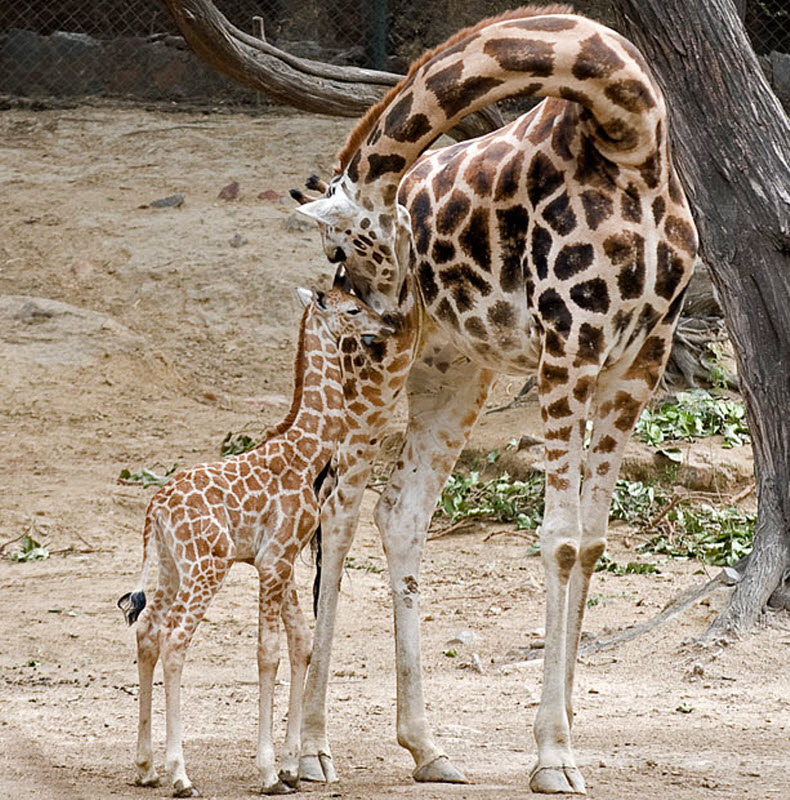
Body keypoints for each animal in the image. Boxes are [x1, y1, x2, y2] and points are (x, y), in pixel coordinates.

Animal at [117, 284, 396, 796]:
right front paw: (269, 772)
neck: (307, 451)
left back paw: (145, 767)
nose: (387, 325)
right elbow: (268, 652)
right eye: (353, 308)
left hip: (170, 566)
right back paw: (180, 774)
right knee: (174, 640)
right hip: (206, 567)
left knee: (147, 631)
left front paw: (291, 766)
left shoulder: (281, 560)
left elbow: (300, 641)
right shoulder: (274, 561)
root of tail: (155, 509)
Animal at [294, 6, 696, 792]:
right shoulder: (569, 343)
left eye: (342, 247)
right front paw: (553, 755)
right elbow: (560, 541)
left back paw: (426, 748)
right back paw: (311, 748)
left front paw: (565, 734)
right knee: (337, 510)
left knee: (401, 513)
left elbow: (592, 541)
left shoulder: (640, 358)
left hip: (455, 378)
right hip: (370, 385)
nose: (382, 312)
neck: (631, 128)